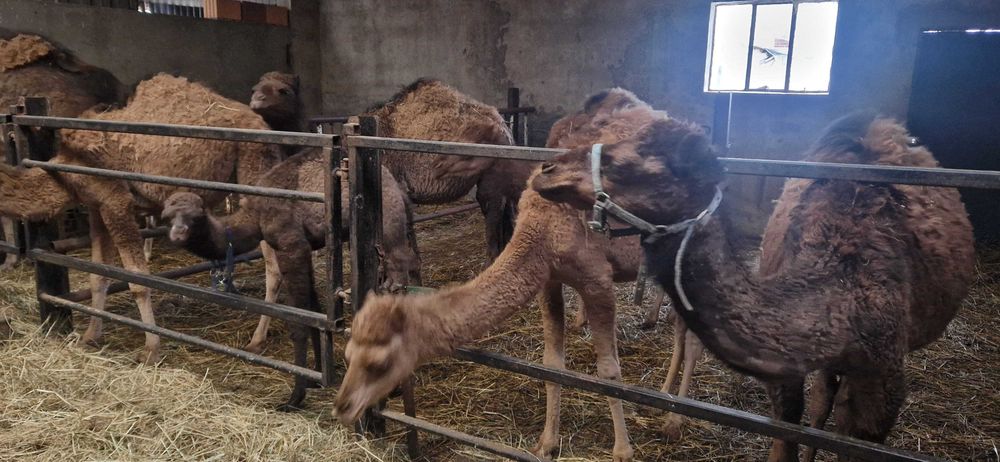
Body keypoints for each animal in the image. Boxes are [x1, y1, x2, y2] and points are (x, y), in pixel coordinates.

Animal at [0, 72, 284, 364]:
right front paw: (90, 336)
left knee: (274, 267)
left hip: (253, 170)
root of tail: (262, 125)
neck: (63, 172)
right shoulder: (97, 207)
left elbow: (137, 279)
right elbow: (98, 275)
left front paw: (150, 349)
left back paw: (256, 340)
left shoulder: (116, 202)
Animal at [161, 147, 417, 409]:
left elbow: (298, 320)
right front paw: (317, 375)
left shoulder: (290, 246)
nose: (178, 233)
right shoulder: (306, 247)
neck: (255, 215)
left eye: (196, 216)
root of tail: (397, 189)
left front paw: (295, 396)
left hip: (390, 231)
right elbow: (314, 310)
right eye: (168, 215)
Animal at [333, 91, 701, 461]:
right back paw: (663, 395)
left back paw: (673, 420)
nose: (342, 406)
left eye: (379, 363)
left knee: (690, 334)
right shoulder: (549, 280)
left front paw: (622, 450)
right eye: (348, 353)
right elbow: (552, 364)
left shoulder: (597, 281)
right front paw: (546, 443)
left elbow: (608, 371)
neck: (543, 226)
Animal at [529, 103, 974, 460]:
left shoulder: (882, 388)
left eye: (641, 160)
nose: (545, 170)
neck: (842, 284)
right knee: (824, 397)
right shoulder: (786, 378)